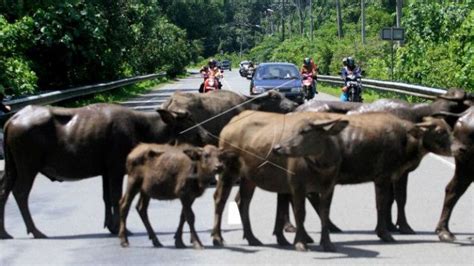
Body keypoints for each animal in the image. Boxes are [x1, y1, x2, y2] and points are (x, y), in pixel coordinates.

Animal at [0, 103, 207, 239]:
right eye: (189, 118)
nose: (204, 135)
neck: (141, 127)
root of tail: (14, 119)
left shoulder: (106, 171)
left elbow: (106, 197)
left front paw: (111, 226)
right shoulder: (116, 168)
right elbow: (116, 196)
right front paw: (121, 228)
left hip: (12, 168)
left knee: (4, 191)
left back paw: (4, 233)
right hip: (28, 167)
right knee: (20, 192)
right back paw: (36, 231)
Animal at [270, 110, 452, 251]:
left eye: (449, 130)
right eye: (439, 132)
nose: (454, 148)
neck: (405, 139)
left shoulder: (392, 176)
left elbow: (392, 200)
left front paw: (394, 227)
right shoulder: (384, 176)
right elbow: (385, 202)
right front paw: (388, 232)